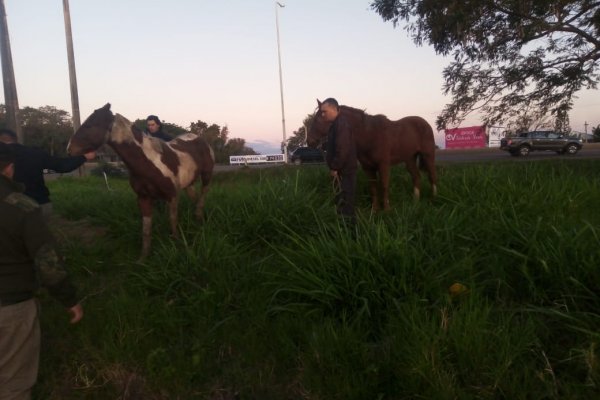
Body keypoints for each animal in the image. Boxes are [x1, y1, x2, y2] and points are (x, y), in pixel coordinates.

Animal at [67, 103, 214, 260]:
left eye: (91, 124)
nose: (69, 149)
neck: (150, 162)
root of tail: (199, 139)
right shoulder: (143, 198)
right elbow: (146, 230)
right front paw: (143, 258)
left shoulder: (172, 196)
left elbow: (173, 223)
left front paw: (178, 245)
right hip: (189, 183)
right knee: (195, 198)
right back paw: (197, 219)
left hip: (206, 176)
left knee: (203, 195)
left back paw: (200, 218)